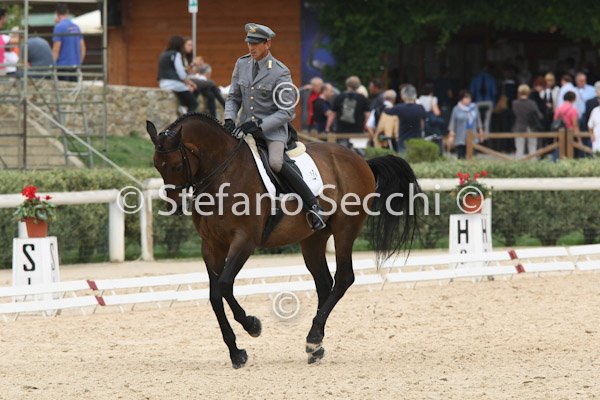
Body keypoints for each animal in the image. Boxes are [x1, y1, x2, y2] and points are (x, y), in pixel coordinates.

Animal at [146, 113, 420, 368]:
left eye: (176, 166)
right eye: (157, 166)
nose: (174, 206)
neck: (223, 174)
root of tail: (361, 160)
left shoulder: (244, 241)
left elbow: (224, 285)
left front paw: (252, 326)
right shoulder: (211, 245)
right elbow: (214, 296)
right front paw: (236, 353)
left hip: (345, 229)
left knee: (343, 278)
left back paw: (313, 338)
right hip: (313, 238)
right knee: (324, 283)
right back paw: (316, 345)